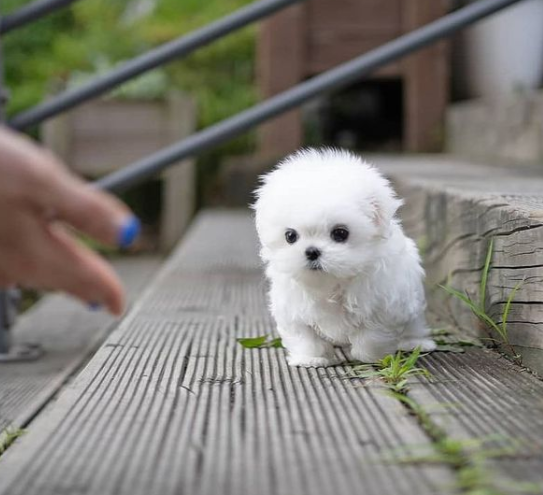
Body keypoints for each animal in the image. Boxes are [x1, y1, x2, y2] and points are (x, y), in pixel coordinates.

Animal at [253, 147, 436, 368]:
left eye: (340, 233)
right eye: (290, 236)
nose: (312, 251)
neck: (332, 282)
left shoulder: (383, 305)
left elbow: (372, 335)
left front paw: (368, 357)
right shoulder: (293, 309)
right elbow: (305, 337)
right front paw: (311, 358)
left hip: (411, 297)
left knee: (414, 323)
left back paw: (416, 343)